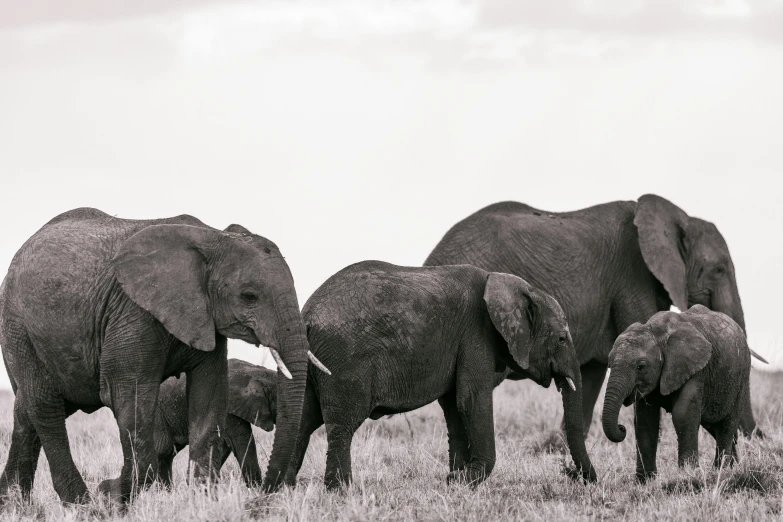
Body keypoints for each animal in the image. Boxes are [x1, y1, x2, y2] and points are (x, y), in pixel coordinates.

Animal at [153, 356, 276, 486]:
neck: (255, 371)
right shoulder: (228, 409)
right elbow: (242, 440)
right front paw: (256, 489)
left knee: (167, 455)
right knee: (163, 450)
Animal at [284, 260, 596, 488]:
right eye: (561, 339)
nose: (579, 477)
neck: (510, 284)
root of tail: (306, 314)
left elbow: (454, 405)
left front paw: (455, 479)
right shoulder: (475, 336)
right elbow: (471, 399)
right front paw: (468, 479)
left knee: (303, 418)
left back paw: (284, 486)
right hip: (344, 360)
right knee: (342, 424)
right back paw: (341, 490)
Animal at [428, 193, 764, 436]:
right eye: (719, 269)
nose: (756, 436)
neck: (677, 217)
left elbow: (591, 371)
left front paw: (559, 445)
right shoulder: (632, 277)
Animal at [600, 304, 752, 480]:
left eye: (641, 366)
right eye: (609, 364)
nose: (621, 427)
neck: (655, 332)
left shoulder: (695, 369)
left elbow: (682, 414)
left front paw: (688, 474)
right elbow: (645, 421)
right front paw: (645, 481)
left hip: (740, 379)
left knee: (727, 424)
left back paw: (721, 470)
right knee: (715, 426)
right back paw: (734, 468)